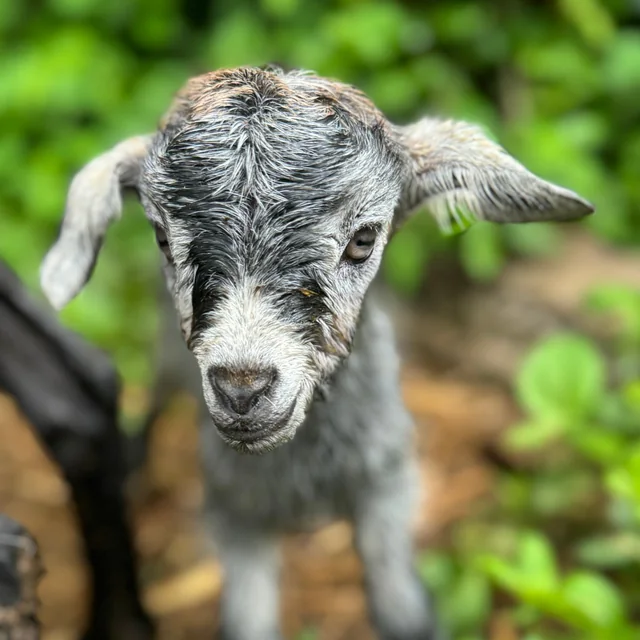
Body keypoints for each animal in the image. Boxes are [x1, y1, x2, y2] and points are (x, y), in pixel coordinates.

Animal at [39, 66, 593, 640]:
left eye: (364, 239)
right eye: (162, 238)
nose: (243, 387)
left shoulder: (388, 484)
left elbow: (401, 609)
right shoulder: (234, 510)